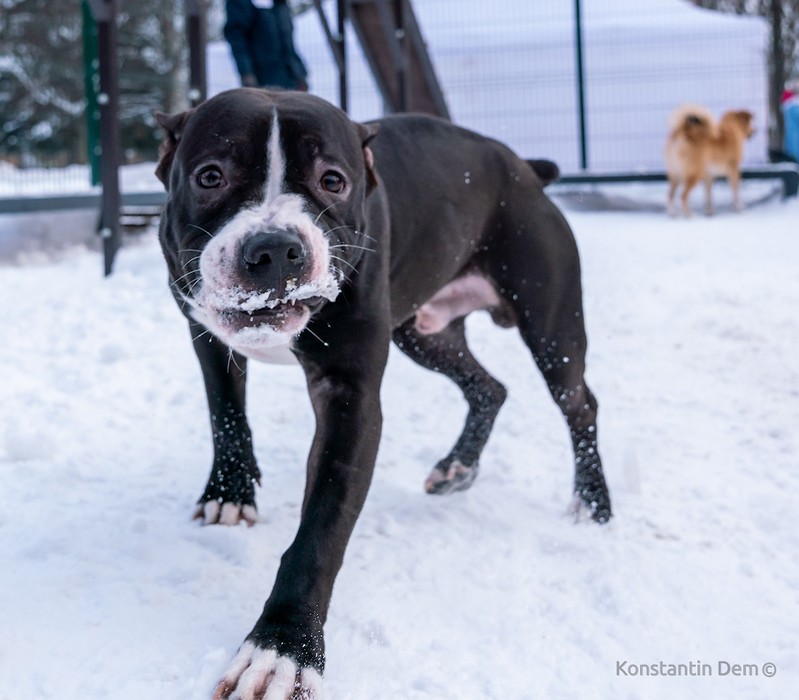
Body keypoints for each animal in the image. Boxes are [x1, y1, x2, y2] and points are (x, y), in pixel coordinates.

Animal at [156, 90, 612, 696]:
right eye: (210, 175)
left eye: (333, 180)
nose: (274, 249)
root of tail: (522, 167)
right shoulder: (206, 333)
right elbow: (225, 413)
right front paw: (229, 492)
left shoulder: (350, 400)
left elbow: (320, 533)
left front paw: (282, 650)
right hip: (424, 333)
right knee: (490, 387)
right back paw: (458, 468)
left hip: (552, 325)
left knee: (579, 403)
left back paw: (593, 501)